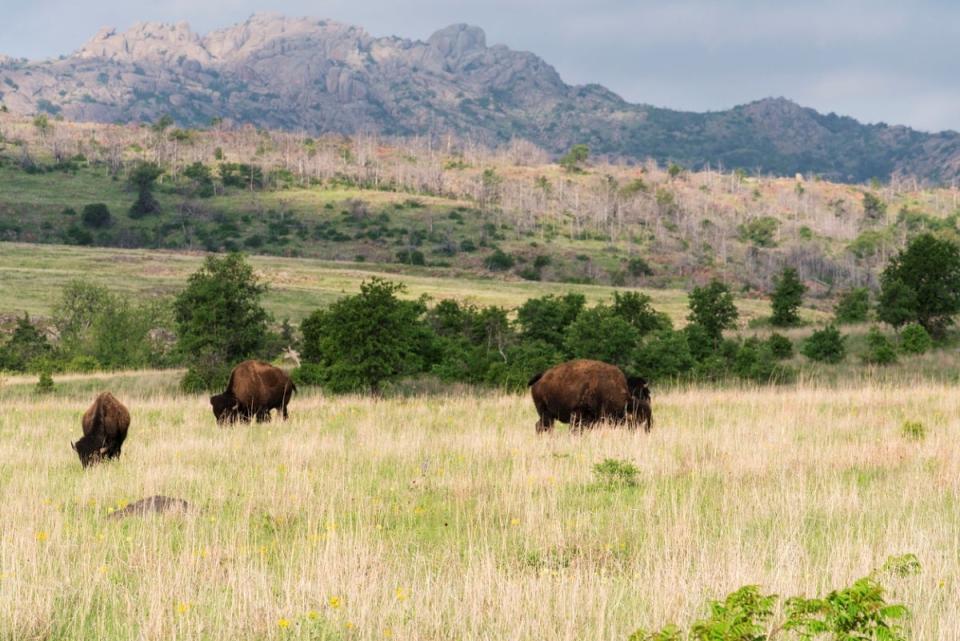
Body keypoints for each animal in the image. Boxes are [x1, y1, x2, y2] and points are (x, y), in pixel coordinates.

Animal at [524, 358, 652, 432]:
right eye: (640, 418)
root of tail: (540, 378)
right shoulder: (578, 415)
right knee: (543, 427)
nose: (648, 430)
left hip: (547, 415)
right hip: (546, 414)